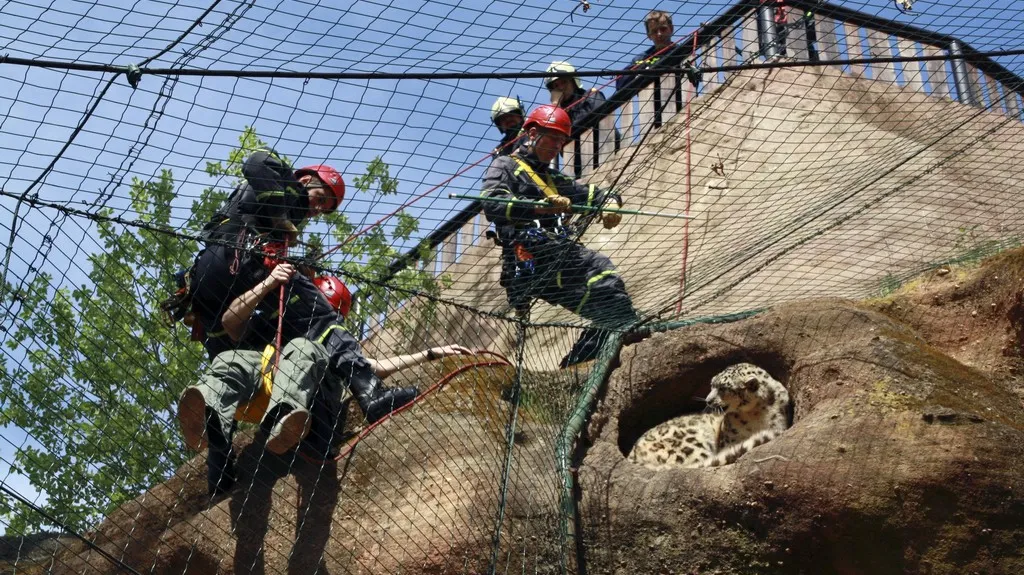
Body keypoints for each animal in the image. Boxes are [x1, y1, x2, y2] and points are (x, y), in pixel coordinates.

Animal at [626, 364, 786, 468]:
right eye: (712, 385)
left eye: (723, 388)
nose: (708, 400)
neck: (754, 414)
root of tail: (633, 455)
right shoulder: (729, 441)